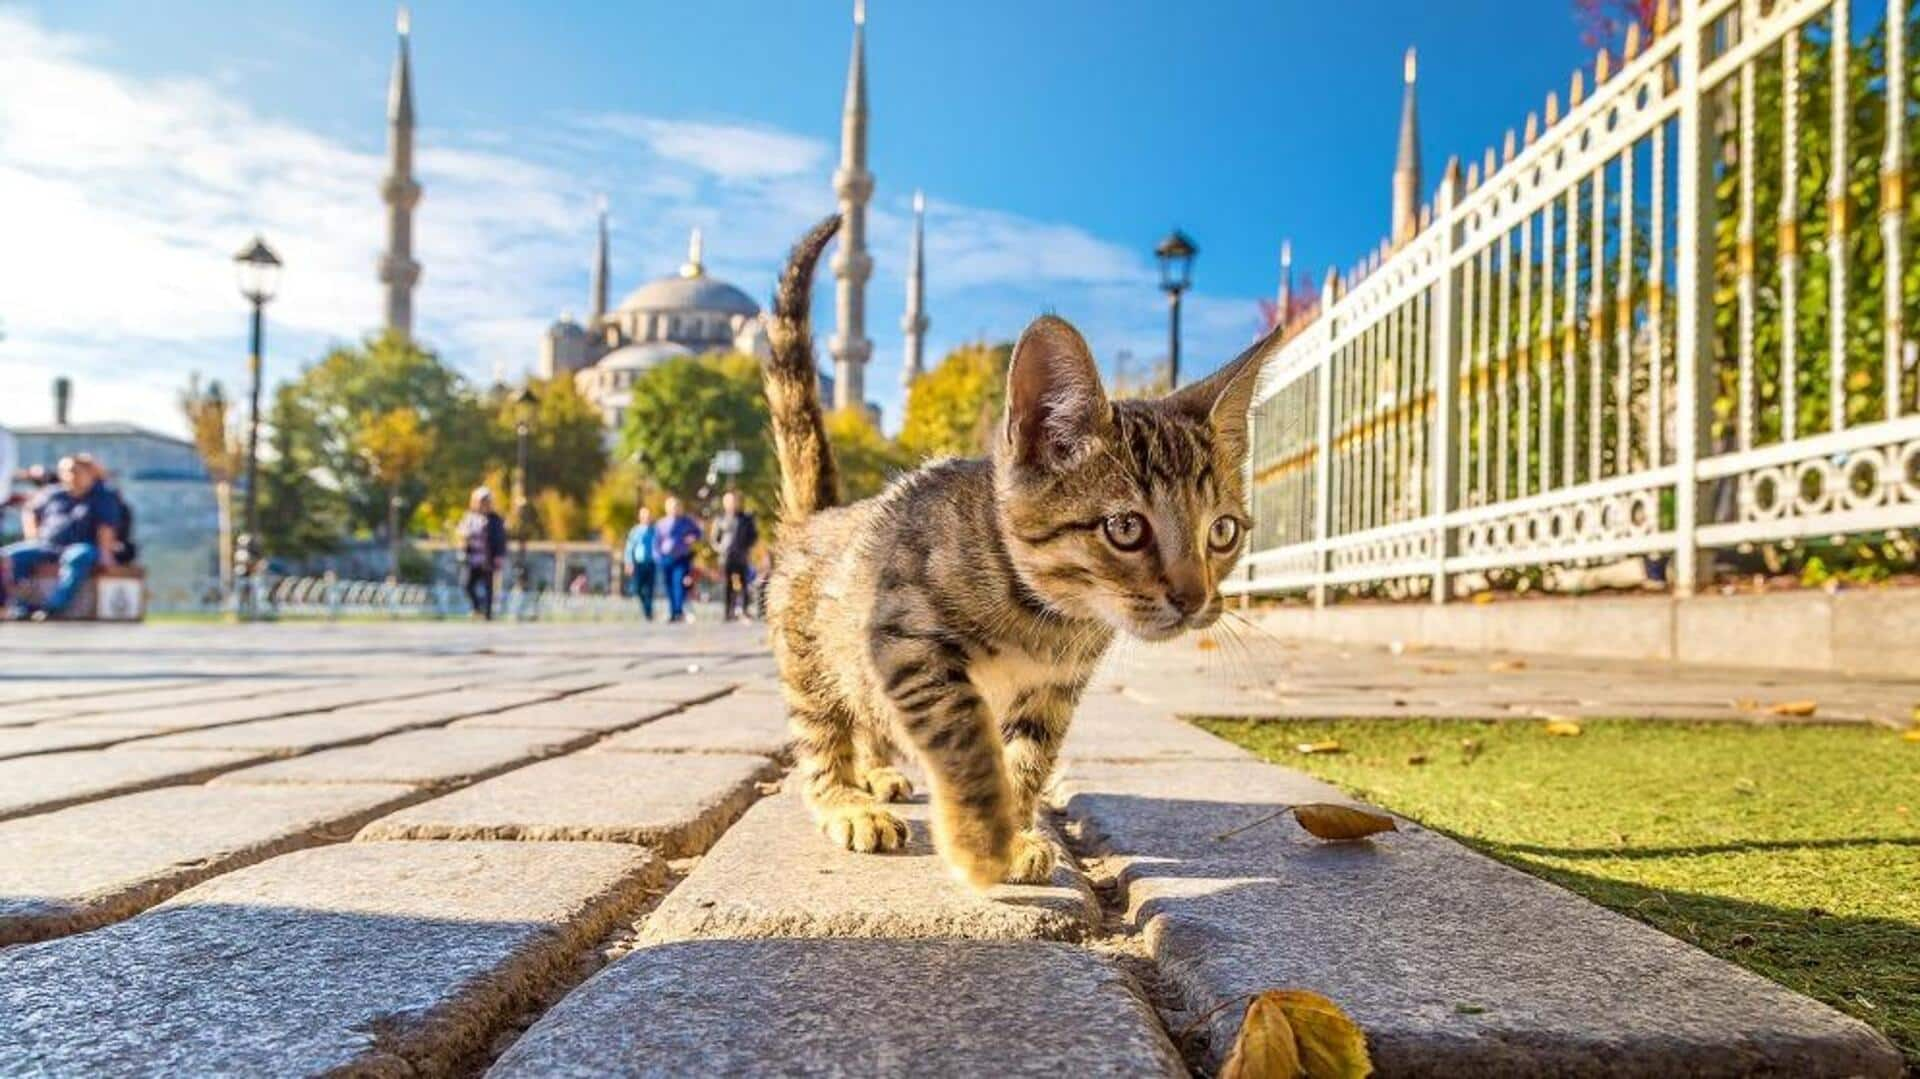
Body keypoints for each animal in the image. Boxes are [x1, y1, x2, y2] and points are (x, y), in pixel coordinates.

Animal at [760, 212, 1274, 883]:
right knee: (823, 732)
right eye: (1126, 528)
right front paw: (983, 841)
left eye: (1222, 532)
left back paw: (877, 771)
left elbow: (1028, 757)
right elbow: (966, 740)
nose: (1194, 599)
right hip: (812, 658)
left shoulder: (1053, 691)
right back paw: (847, 800)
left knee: (868, 714)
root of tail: (819, 517)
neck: (1047, 616)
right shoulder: (908, 644)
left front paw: (1018, 829)